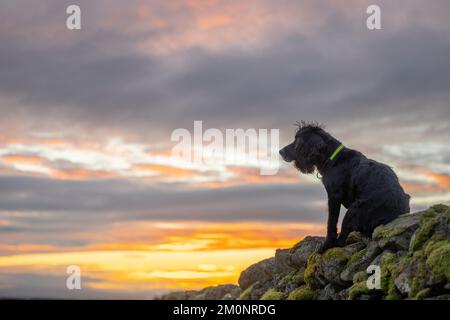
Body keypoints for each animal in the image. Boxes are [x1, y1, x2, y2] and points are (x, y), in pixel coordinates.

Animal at [282, 122, 412, 252]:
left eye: (297, 141)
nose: (280, 151)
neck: (333, 158)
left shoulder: (334, 197)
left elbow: (331, 222)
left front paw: (326, 245)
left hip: (354, 209)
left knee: (343, 235)